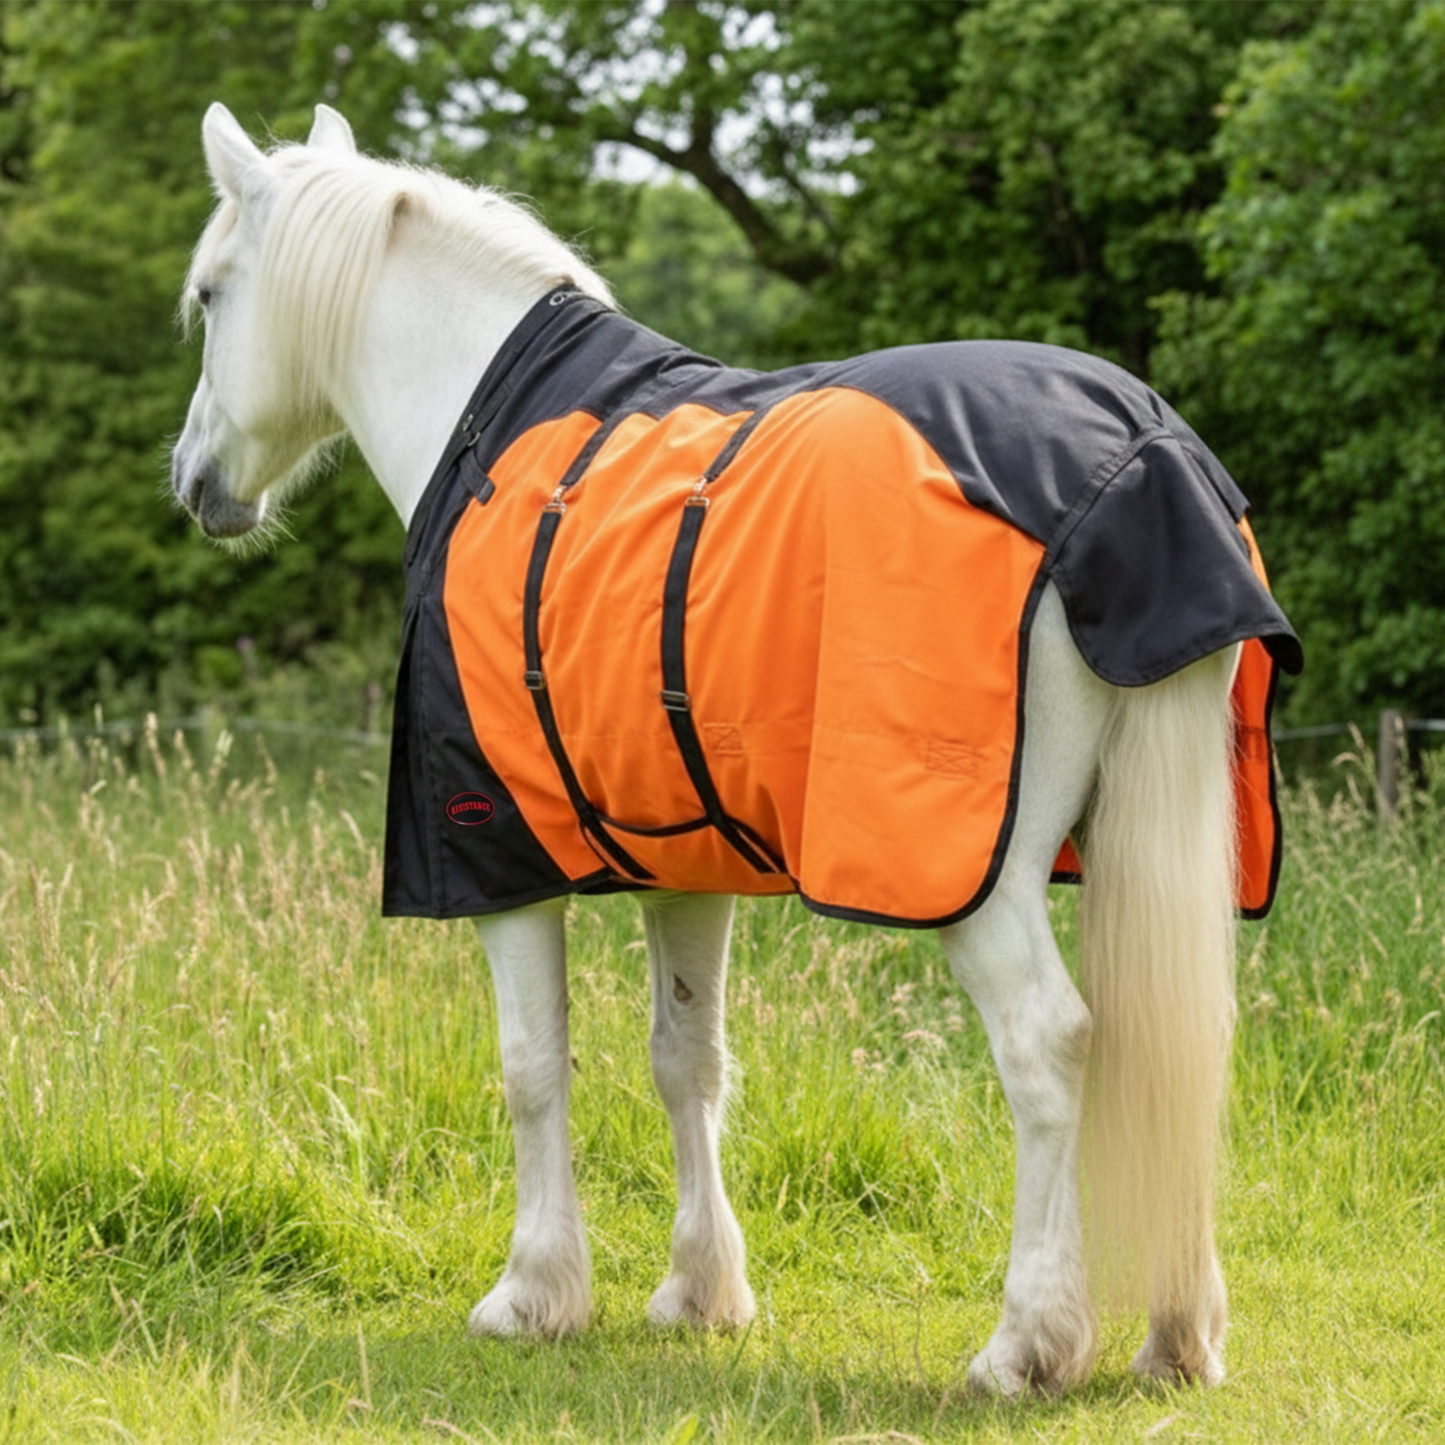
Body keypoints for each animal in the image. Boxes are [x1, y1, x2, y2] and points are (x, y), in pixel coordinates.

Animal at [171, 102, 1302, 1396]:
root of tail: (1138, 452)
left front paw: (532, 1293)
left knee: (1046, 1045)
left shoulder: (498, 855)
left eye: (210, 295)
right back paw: (1175, 1334)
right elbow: (686, 1057)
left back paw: (1024, 1341)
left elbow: (530, 1063)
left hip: (972, 876)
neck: (492, 424)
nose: (193, 481)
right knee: (1178, 1047)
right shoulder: (683, 857)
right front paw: (699, 1291)